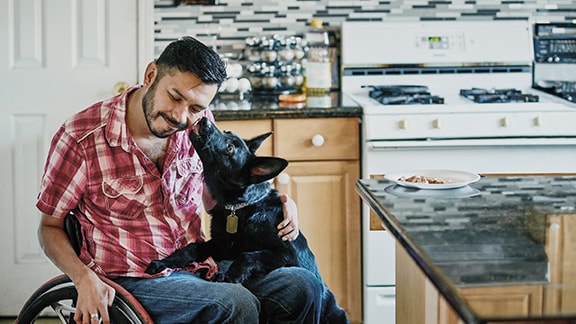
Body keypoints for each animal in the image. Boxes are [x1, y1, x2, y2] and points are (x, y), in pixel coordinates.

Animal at [146, 117, 348, 322]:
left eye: (230, 149)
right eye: (227, 132)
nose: (204, 120)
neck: (239, 209)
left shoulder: (286, 253)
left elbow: (248, 255)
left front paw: (229, 275)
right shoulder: (220, 246)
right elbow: (192, 248)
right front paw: (165, 263)